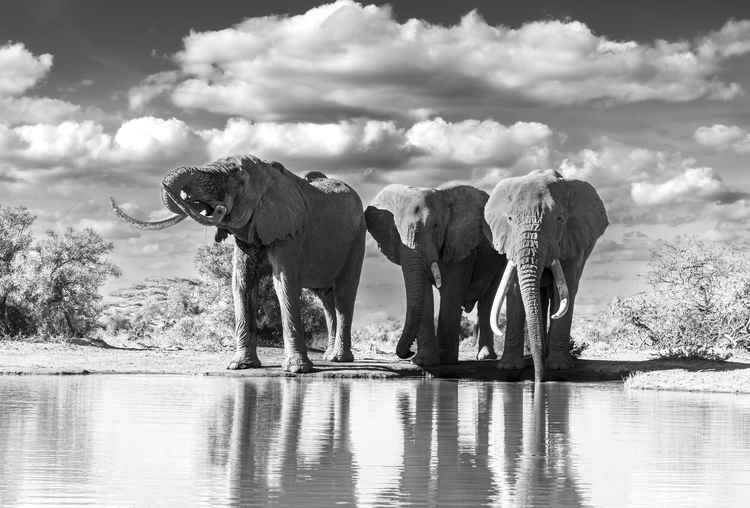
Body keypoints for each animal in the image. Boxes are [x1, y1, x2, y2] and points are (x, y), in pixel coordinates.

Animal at [111, 155, 368, 374]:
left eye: (238, 179)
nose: (218, 207)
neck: (270, 174)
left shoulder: (289, 231)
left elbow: (283, 284)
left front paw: (297, 370)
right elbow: (242, 283)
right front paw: (240, 366)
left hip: (358, 236)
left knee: (344, 295)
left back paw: (339, 359)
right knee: (325, 297)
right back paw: (329, 357)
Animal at [364, 183, 506, 366]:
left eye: (436, 226)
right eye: (396, 231)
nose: (409, 352)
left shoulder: (459, 244)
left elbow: (451, 291)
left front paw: (445, 361)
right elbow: (423, 291)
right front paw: (423, 361)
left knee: (487, 301)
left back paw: (485, 357)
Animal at [484, 170, 608, 380]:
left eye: (560, 219)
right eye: (509, 219)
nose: (539, 379)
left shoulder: (571, 242)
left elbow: (564, 290)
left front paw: (558, 367)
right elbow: (515, 290)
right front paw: (509, 367)